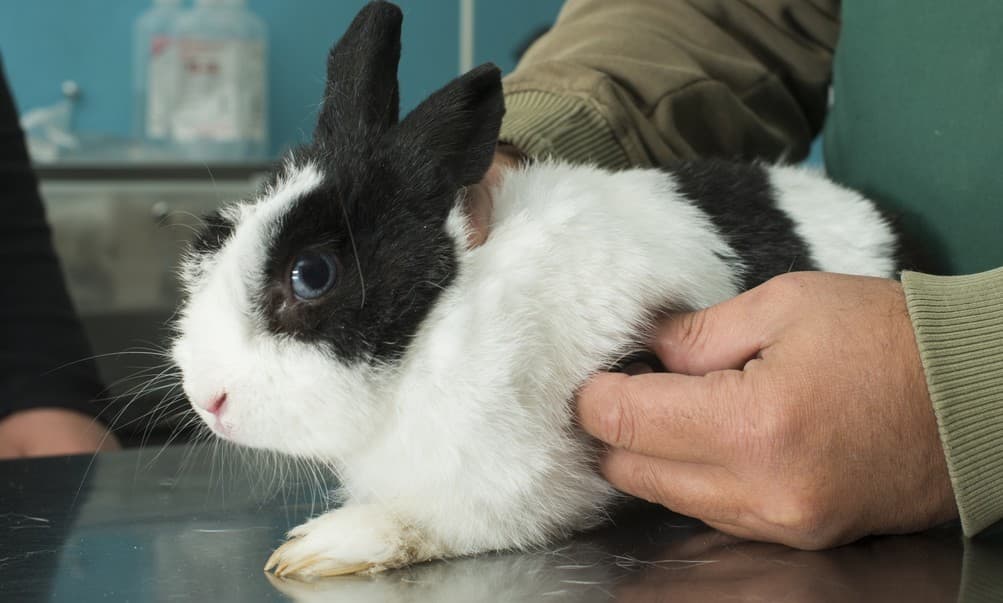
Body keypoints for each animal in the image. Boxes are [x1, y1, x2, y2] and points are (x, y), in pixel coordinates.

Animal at [171, 1, 900, 579]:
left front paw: (323, 547)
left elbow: (445, 521)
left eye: (312, 274)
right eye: (215, 232)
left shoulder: (523, 484)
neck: (441, 327)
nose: (208, 400)